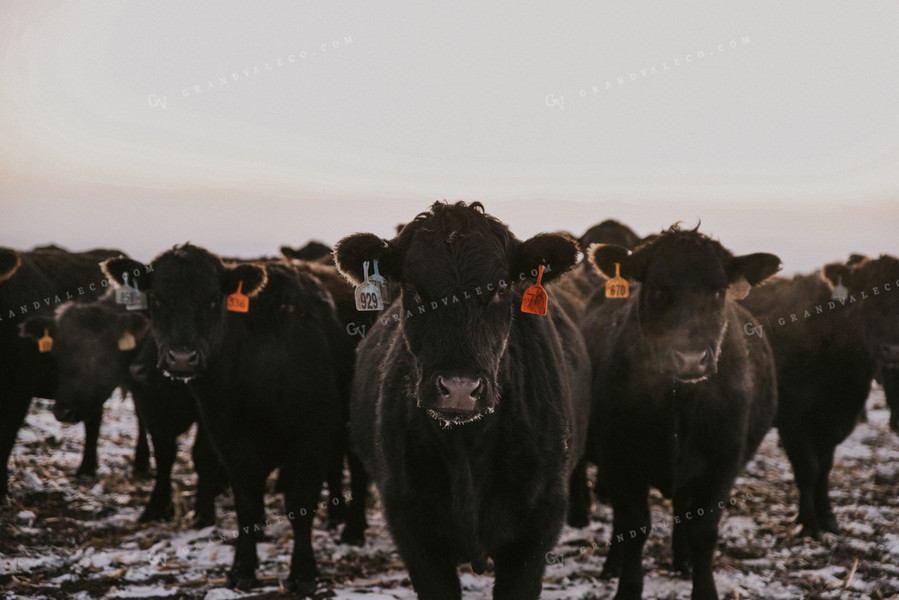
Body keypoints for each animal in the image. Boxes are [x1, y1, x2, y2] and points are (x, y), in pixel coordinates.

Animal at [103, 246, 346, 592]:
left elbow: (301, 506)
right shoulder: (229, 440)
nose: (181, 358)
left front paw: (302, 573)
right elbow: (246, 505)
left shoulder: (312, 439)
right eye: (157, 299)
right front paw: (242, 568)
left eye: (213, 299)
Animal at [336, 203, 592, 600]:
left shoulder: (538, 526)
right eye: (413, 289)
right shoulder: (410, 523)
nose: (459, 387)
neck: (467, 447)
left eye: (501, 288)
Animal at [584, 225, 780, 600]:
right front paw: (627, 587)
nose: (690, 359)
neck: (680, 401)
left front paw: (703, 587)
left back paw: (682, 559)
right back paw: (614, 564)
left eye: (718, 291)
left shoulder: (722, 464)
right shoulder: (621, 460)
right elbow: (634, 527)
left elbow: (703, 531)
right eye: (657, 288)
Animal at [740, 253, 899, 540]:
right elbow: (808, 468)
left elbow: (825, 467)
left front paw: (828, 517)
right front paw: (808, 523)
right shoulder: (792, 420)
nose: (892, 349)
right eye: (867, 294)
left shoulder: (839, 417)